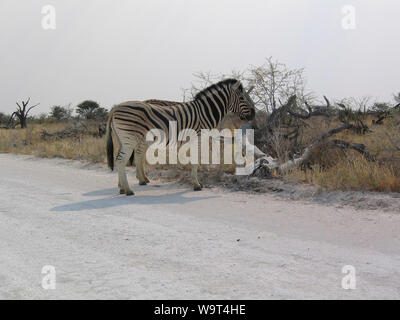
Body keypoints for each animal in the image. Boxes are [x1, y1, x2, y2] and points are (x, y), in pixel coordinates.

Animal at [106, 79, 255, 195]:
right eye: (242, 98)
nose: (253, 115)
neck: (205, 112)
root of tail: (115, 107)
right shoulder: (198, 138)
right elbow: (195, 160)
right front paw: (196, 184)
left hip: (123, 138)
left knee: (122, 158)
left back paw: (123, 187)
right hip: (130, 137)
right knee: (121, 160)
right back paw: (128, 190)